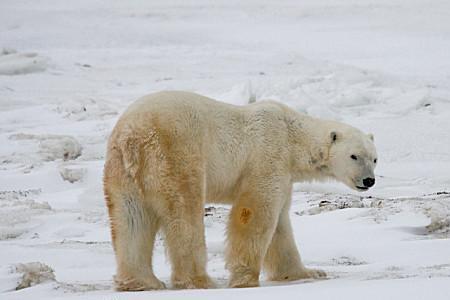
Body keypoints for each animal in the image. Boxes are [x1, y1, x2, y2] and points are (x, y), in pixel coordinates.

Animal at [103, 90, 376, 290]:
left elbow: (280, 224)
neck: (291, 136)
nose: (369, 180)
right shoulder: (268, 156)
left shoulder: (284, 175)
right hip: (177, 155)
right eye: (354, 156)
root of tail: (133, 137)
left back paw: (141, 282)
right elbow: (255, 213)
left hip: (122, 172)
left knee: (131, 220)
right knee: (184, 214)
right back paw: (199, 280)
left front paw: (307, 272)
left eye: (374, 158)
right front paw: (245, 278)